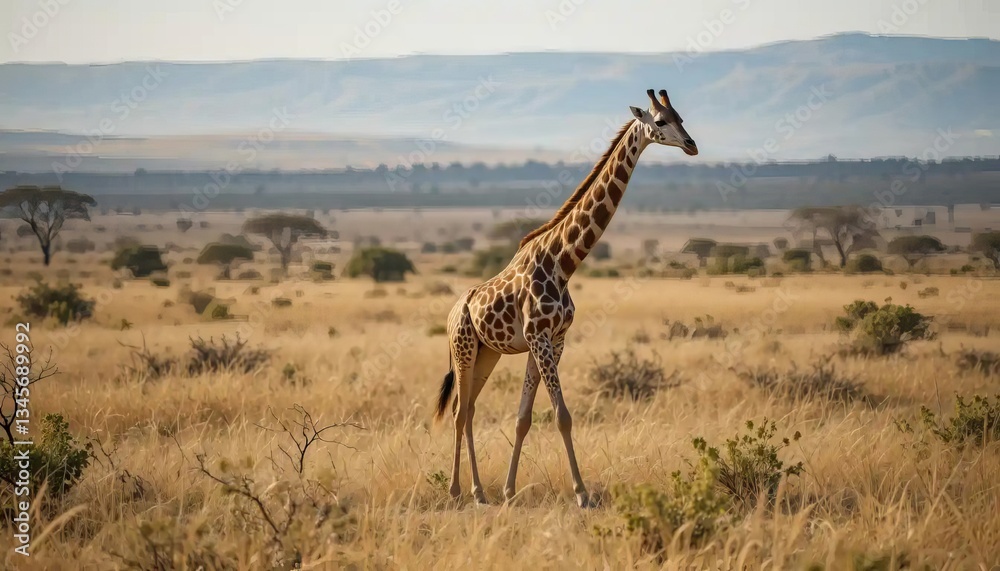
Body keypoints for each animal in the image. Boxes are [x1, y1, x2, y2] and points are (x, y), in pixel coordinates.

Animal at [434, 88, 698, 508]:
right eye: (660, 121)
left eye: (682, 118)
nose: (691, 145)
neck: (564, 261)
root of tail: (451, 313)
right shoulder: (539, 338)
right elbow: (562, 416)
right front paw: (582, 493)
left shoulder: (553, 339)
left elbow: (524, 418)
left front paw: (509, 491)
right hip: (463, 349)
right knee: (460, 413)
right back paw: (459, 491)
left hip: (487, 353)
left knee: (469, 407)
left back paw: (480, 491)